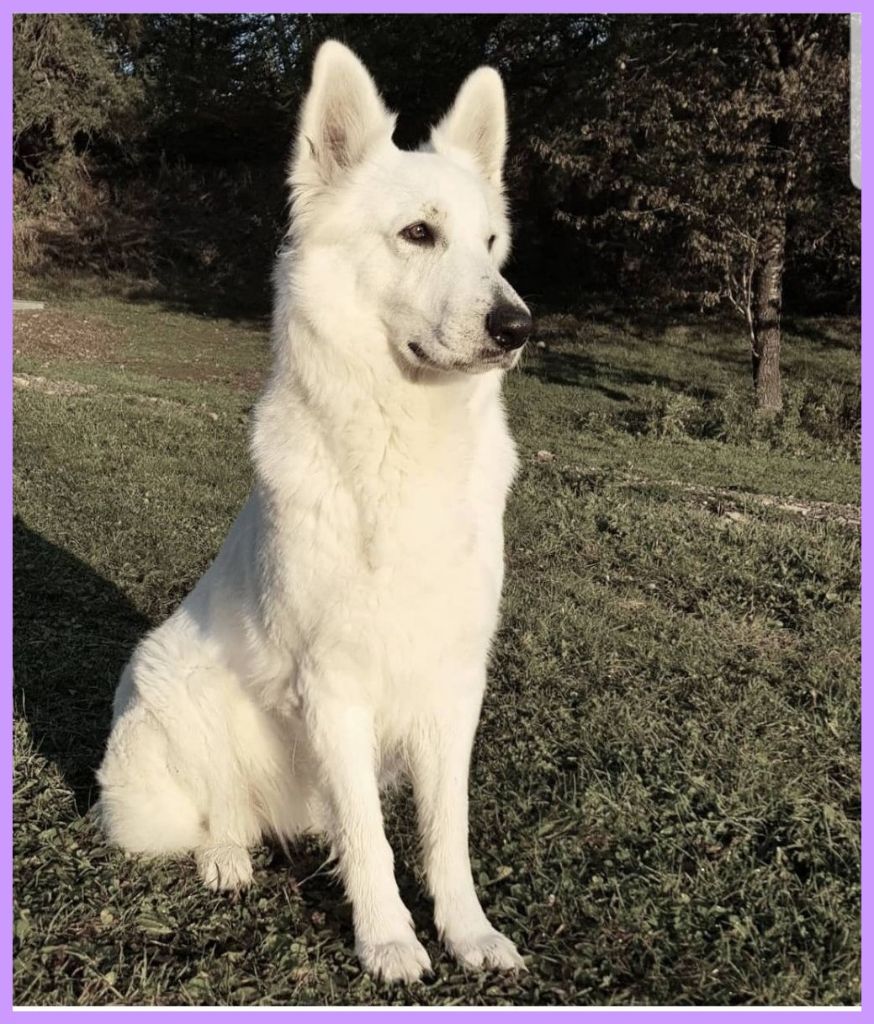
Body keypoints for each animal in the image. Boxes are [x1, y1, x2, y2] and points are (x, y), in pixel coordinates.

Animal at [97, 40, 532, 984]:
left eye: (490, 244)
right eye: (419, 234)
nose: (518, 326)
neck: (406, 445)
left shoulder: (454, 685)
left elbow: (445, 834)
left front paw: (468, 931)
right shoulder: (334, 686)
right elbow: (372, 841)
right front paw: (390, 941)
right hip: (169, 724)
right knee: (218, 812)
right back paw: (228, 855)